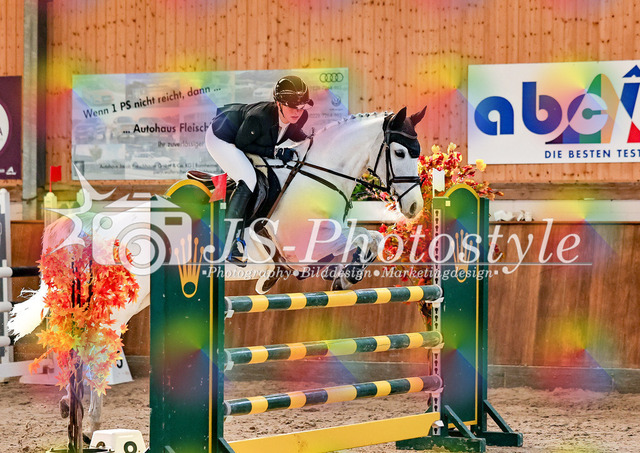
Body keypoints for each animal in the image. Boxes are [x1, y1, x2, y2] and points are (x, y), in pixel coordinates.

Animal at [8, 106, 426, 438]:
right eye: (399, 152)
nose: (415, 207)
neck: (316, 176)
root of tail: (98, 223)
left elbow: (369, 236)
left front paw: (347, 273)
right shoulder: (300, 244)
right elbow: (362, 236)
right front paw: (350, 270)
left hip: (135, 299)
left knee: (96, 341)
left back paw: (80, 414)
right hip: (124, 296)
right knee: (95, 342)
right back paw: (84, 419)